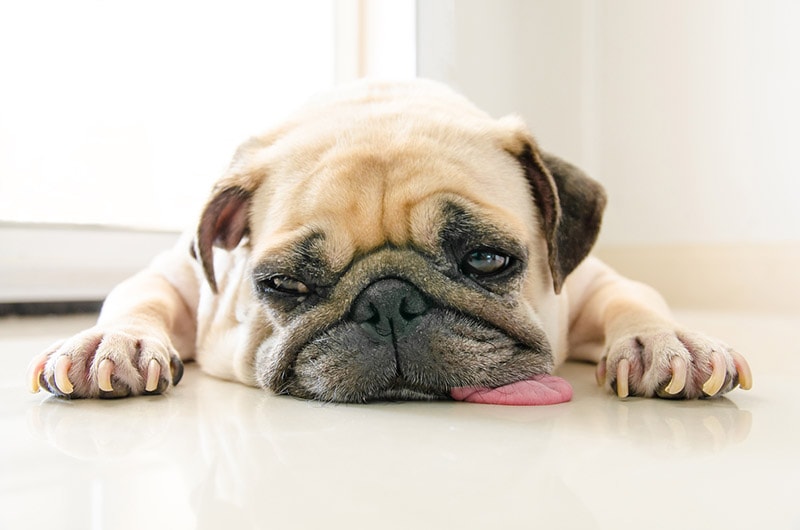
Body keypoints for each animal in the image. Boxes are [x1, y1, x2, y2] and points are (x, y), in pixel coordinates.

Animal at [23, 78, 752, 402]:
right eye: (284, 285)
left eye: (488, 260)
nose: (388, 303)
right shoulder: (174, 274)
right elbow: (136, 301)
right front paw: (110, 343)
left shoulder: (593, 281)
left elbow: (636, 301)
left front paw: (666, 343)